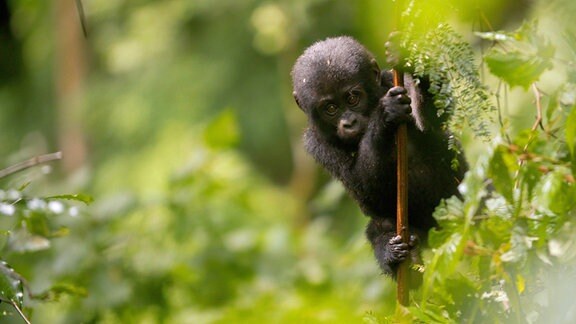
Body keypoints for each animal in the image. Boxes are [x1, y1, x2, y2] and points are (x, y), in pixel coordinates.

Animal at [290, 36, 466, 278]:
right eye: (331, 108)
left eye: (353, 98)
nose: (349, 123)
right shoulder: (315, 143)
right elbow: (366, 188)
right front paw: (385, 116)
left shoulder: (389, 81)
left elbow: (434, 116)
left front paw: (406, 54)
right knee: (379, 226)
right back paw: (395, 254)